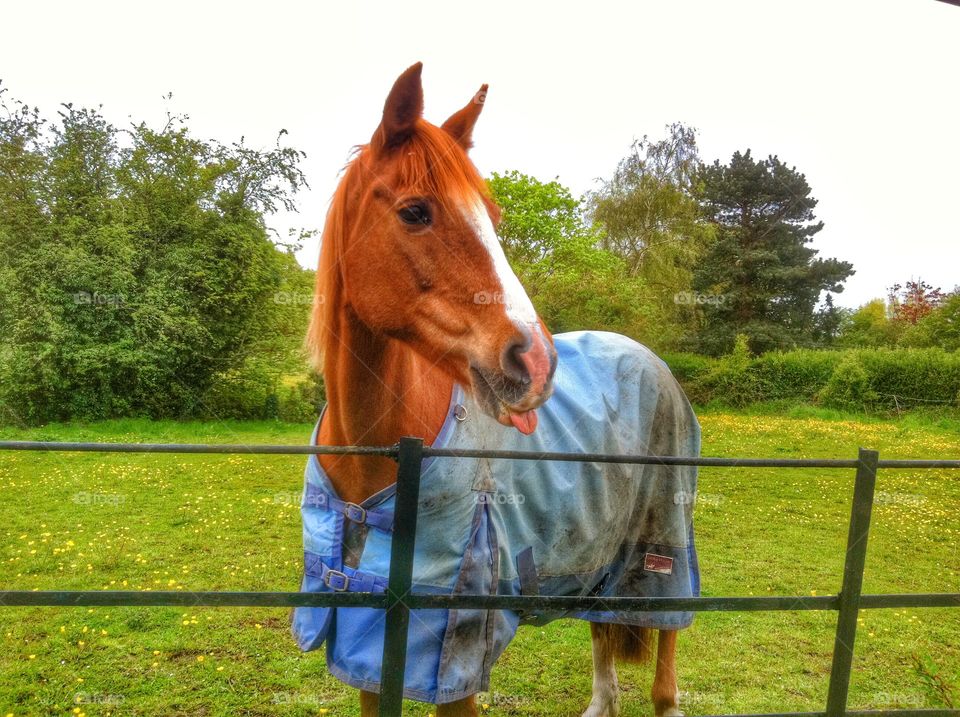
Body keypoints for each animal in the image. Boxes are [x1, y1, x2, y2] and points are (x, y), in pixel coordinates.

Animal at [291, 63, 700, 717]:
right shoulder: (364, 654)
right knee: (603, 641)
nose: (535, 361)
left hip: (660, 548)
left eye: (494, 216)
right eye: (415, 212)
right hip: (599, 558)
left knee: (665, 649)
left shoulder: (454, 669)